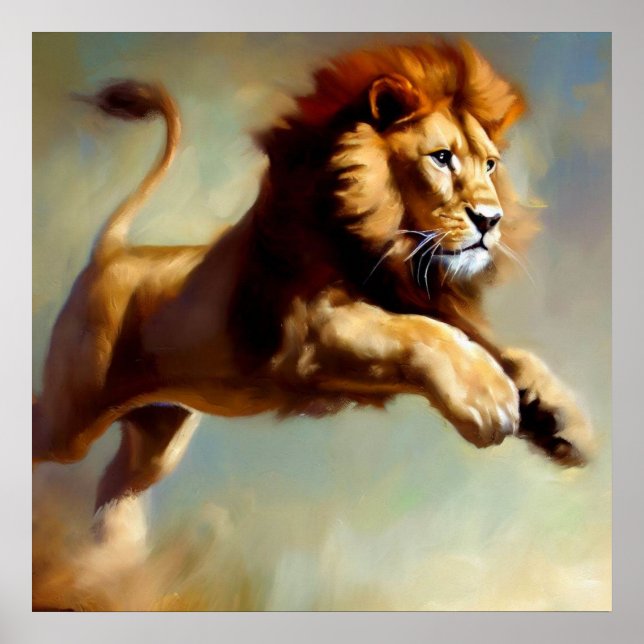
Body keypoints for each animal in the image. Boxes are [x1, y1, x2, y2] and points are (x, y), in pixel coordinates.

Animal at [33, 41, 594, 552]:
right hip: (70, 419)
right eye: (441, 158)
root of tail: (110, 253)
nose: (490, 220)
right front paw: (487, 398)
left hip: (157, 435)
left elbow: (504, 351)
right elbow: (419, 333)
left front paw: (565, 420)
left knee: (116, 489)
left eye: (492, 165)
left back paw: (110, 564)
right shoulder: (310, 334)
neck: (393, 246)